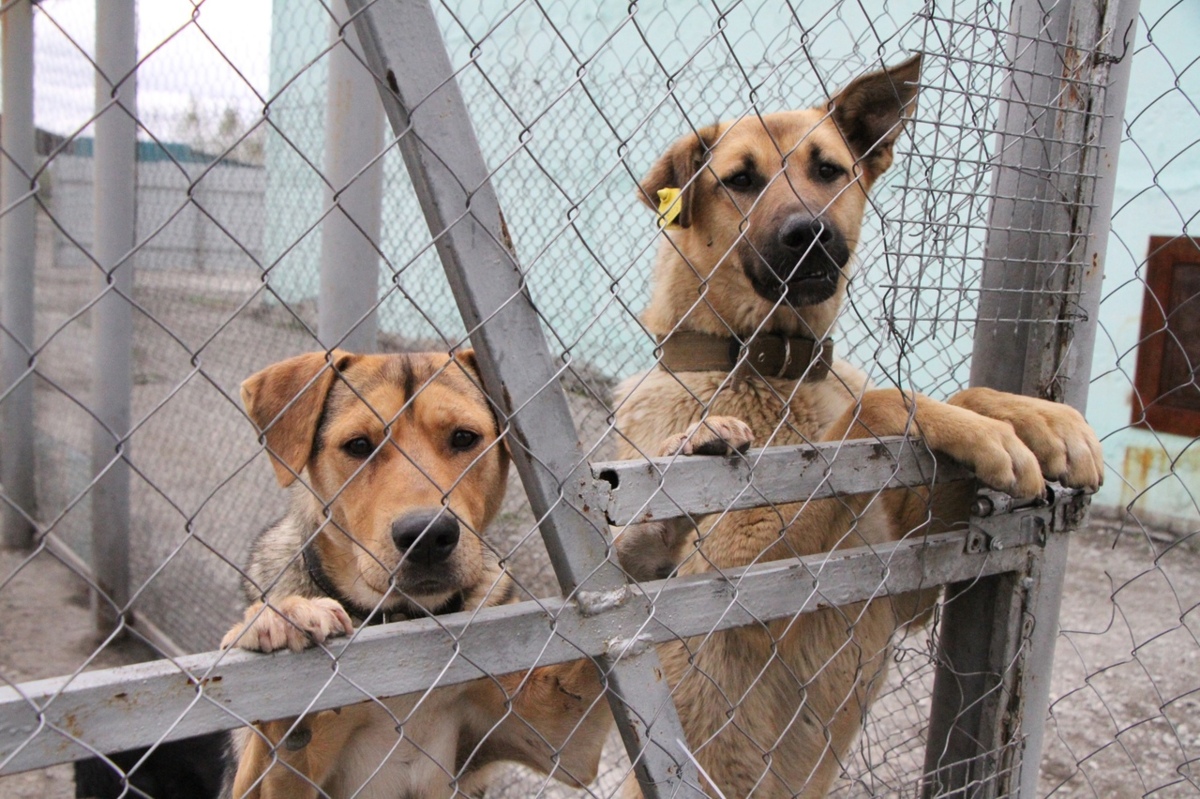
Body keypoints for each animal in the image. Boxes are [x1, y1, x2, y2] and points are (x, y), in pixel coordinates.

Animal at [220, 352, 609, 796]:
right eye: (358, 445)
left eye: (463, 438)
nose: (427, 536)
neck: (402, 616)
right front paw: (284, 618)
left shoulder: (564, 740)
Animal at [614, 54, 1099, 791]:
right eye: (741, 180)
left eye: (829, 169)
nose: (809, 234)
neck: (775, 368)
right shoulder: (738, 581)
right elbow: (880, 402)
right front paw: (986, 433)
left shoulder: (907, 588)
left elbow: (964, 390)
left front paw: (1039, 421)